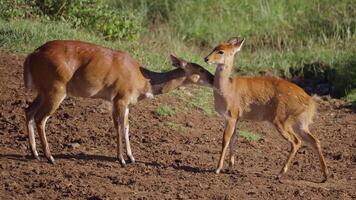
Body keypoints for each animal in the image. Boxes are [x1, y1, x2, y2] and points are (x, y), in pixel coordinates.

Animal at [25, 39, 214, 166]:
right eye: (200, 70)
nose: (213, 79)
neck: (145, 80)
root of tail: (31, 55)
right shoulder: (120, 98)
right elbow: (119, 126)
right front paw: (122, 159)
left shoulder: (124, 102)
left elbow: (126, 127)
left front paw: (131, 158)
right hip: (56, 89)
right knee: (41, 118)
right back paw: (50, 157)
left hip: (44, 90)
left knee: (28, 111)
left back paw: (35, 153)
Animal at [203, 36, 328, 182]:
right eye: (214, 47)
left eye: (221, 51)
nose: (206, 58)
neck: (227, 88)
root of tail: (310, 101)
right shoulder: (234, 118)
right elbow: (234, 139)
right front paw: (230, 167)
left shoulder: (231, 116)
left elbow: (225, 140)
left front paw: (217, 169)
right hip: (300, 124)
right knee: (315, 141)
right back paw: (325, 176)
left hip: (281, 121)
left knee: (296, 141)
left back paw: (280, 173)